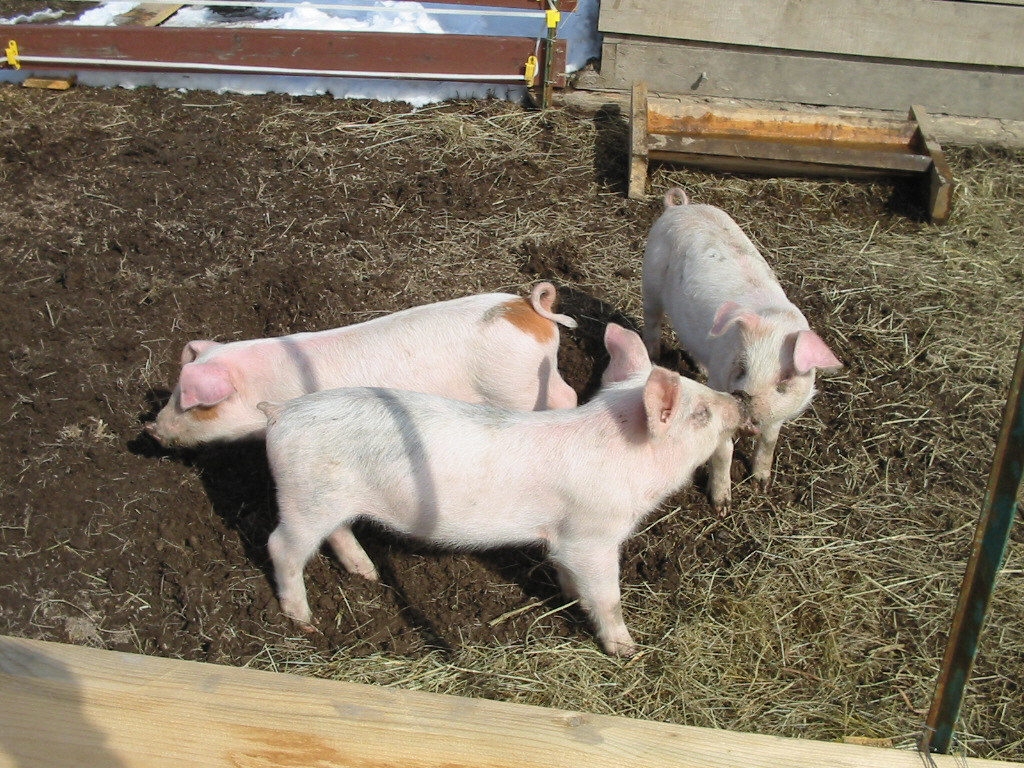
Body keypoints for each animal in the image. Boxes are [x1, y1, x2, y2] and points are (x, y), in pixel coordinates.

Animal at [257, 323, 744, 656]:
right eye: (700, 413)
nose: (738, 402)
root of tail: (280, 413)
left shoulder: (562, 538)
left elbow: (566, 573)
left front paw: (569, 596)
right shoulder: (591, 534)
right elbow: (607, 597)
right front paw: (627, 651)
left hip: (330, 499)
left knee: (337, 533)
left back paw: (368, 574)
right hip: (304, 497)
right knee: (280, 546)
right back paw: (306, 624)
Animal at [642, 188, 842, 513]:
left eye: (784, 382)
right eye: (742, 367)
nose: (746, 416)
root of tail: (679, 207)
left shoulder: (778, 414)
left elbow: (770, 441)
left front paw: (762, 485)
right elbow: (723, 451)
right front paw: (721, 507)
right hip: (649, 281)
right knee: (651, 321)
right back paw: (654, 355)